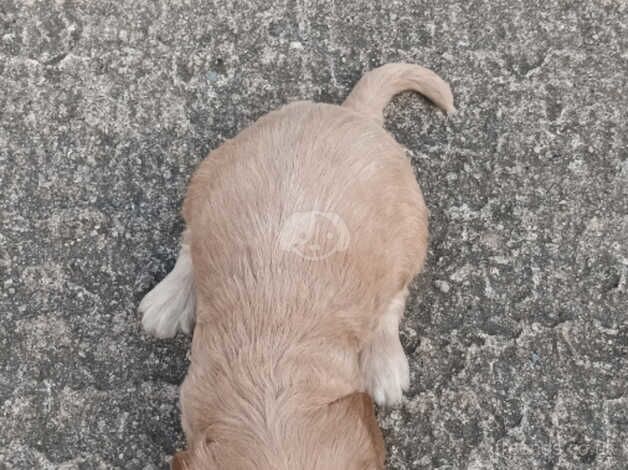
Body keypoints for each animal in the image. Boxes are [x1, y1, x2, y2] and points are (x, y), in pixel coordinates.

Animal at [140, 63, 454, 470]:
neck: (273, 376)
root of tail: (352, 113)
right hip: (207, 177)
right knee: (190, 240)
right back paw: (168, 300)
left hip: (410, 234)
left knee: (393, 299)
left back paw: (384, 365)